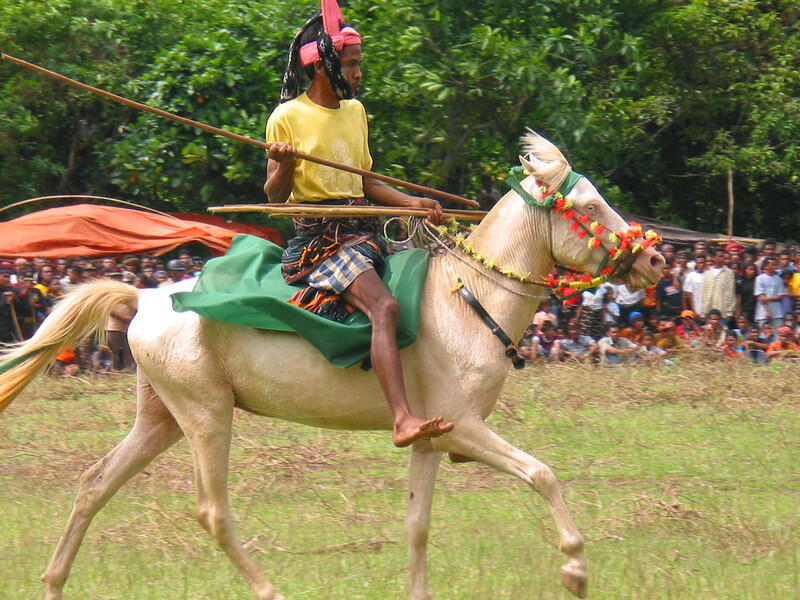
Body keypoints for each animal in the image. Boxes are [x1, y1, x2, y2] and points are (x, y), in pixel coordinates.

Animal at [0, 134, 664, 600]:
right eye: (587, 206)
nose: (655, 259)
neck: (468, 299)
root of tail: (144, 296)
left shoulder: (435, 438)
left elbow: (417, 526)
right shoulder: (467, 428)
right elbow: (542, 474)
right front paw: (575, 568)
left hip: (162, 415)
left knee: (94, 484)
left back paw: (53, 583)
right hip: (206, 413)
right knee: (213, 511)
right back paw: (271, 590)